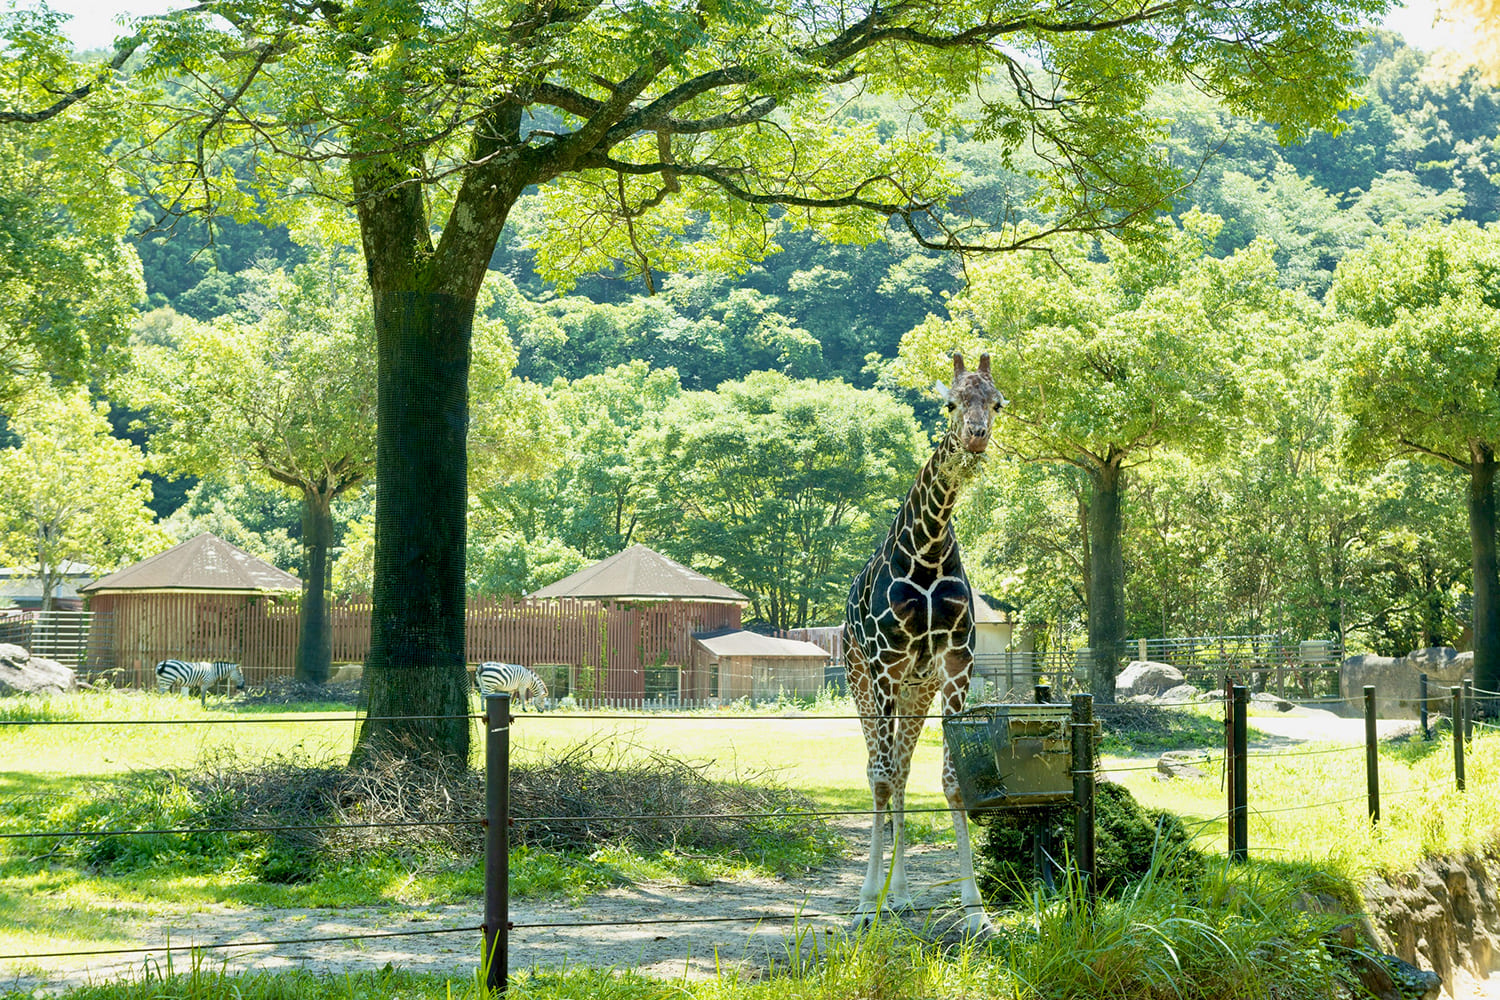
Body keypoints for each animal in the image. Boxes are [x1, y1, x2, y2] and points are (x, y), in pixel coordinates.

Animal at [846, 353, 1008, 941]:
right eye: (951, 403)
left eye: (997, 403)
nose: (976, 438)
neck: (930, 548)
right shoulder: (885, 664)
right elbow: (881, 779)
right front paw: (867, 903)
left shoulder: (956, 662)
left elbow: (954, 780)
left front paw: (976, 909)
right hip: (862, 682)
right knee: (879, 772)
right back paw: (878, 896)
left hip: (918, 691)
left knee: (902, 771)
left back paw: (902, 895)